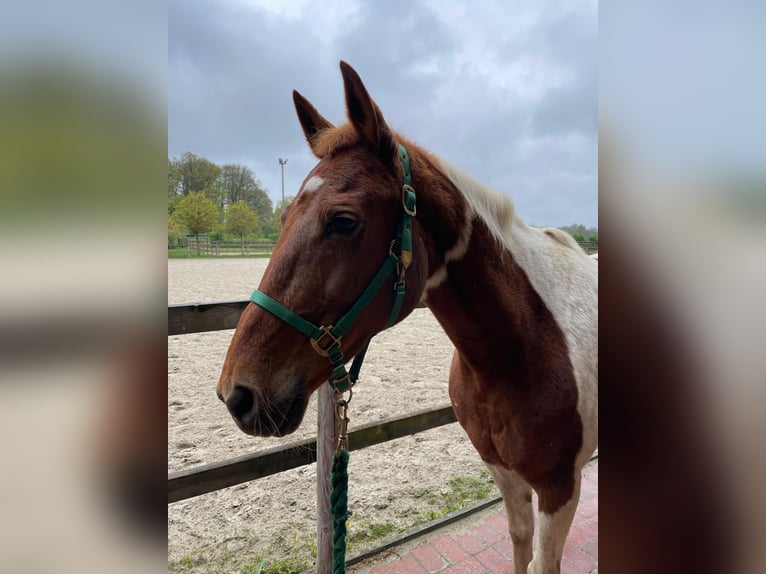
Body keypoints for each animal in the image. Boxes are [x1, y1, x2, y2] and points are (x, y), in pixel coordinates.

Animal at [217, 61, 598, 574]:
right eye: (282, 219)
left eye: (344, 220)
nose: (237, 394)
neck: (523, 347)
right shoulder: (504, 474)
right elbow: (519, 542)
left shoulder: (560, 488)